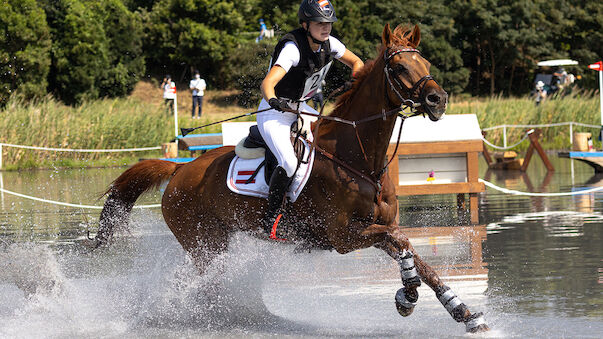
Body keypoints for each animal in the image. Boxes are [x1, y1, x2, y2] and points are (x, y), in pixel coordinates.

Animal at [95, 24, 490, 334]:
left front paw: (464, 313)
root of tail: (178, 168)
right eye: (398, 66)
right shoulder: (343, 236)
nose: (438, 100)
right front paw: (407, 296)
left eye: (426, 64)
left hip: (214, 242)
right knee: (196, 285)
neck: (360, 160)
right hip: (203, 244)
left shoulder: (377, 227)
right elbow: (403, 245)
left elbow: (418, 258)